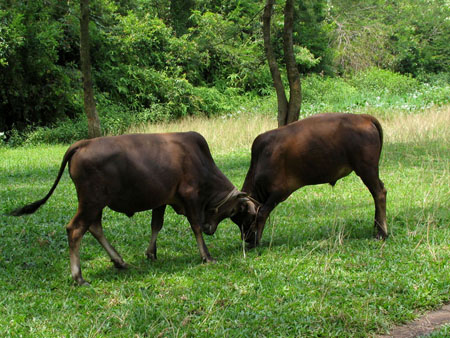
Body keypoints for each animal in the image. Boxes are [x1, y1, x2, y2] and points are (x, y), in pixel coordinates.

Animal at [9, 132, 256, 286]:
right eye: (235, 213)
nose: (210, 229)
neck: (201, 162)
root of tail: (83, 143)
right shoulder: (190, 196)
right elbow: (193, 226)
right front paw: (206, 255)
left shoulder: (162, 200)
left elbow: (156, 225)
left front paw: (151, 253)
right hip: (91, 201)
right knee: (75, 229)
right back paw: (79, 277)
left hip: (95, 204)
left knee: (95, 228)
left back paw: (119, 261)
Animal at [232, 113, 386, 246]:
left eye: (245, 218)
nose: (246, 239)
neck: (261, 159)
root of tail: (363, 116)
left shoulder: (278, 192)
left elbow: (263, 212)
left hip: (366, 169)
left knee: (379, 193)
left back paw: (382, 233)